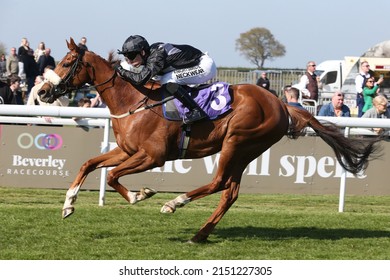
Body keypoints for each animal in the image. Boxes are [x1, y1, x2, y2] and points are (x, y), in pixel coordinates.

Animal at [39, 37, 380, 243]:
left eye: (67, 62)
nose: (42, 92)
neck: (134, 99)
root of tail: (282, 104)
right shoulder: (127, 151)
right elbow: (89, 164)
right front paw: (68, 205)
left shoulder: (152, 156)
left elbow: (111, 176)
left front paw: (141, 194)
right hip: (245, 151)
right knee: (230, 192)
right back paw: (200, 233)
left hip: (237, 142)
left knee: (219, 183)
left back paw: (174, 203)